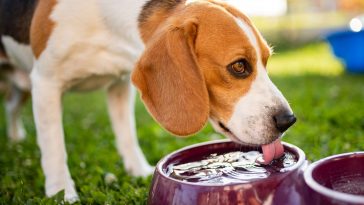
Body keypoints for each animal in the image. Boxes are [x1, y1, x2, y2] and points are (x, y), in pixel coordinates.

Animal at [0, 0, 296, 202]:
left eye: (266, 61)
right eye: (239, 66)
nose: (288, 120)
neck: (105, 22)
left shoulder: (119, 84)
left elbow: (127, 135)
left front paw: (138, 170)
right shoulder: (46, 82)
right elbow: (54, 147)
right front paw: (62, 192)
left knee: (12, 106)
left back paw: (15, 138)